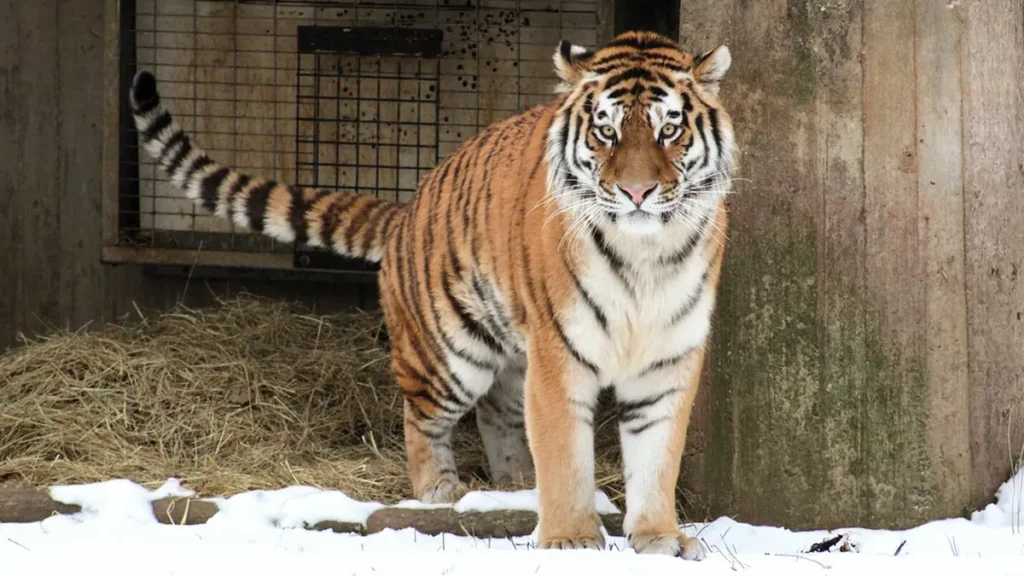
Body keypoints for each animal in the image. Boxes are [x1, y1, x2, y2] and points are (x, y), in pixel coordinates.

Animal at [128, 30, 735, 557]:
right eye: (606, 131)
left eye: (668, 129)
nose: (636, 192)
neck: (645, 255)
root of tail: (406, 211)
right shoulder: (559, 353)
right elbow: (566, 452)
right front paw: (571, 540)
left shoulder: (668, 357)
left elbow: (657, 457)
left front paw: (658, 537)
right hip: (450, 353)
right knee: (420, 418)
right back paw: (441, 490)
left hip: (510, 351)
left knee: (498, 414)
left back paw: (514, 485)